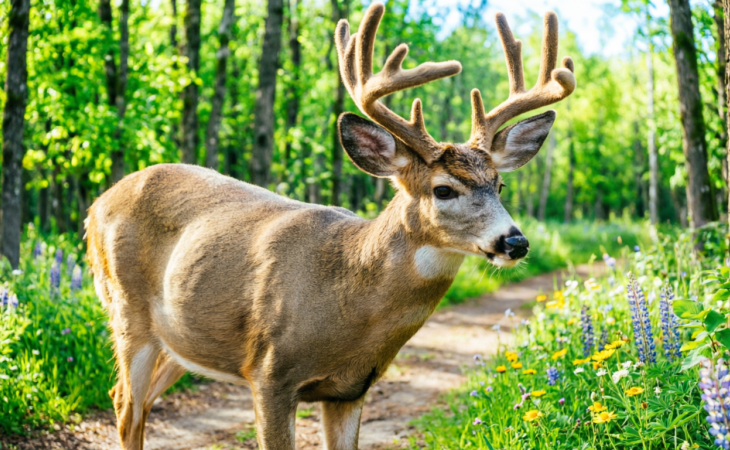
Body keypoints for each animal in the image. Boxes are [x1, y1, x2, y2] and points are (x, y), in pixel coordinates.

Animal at [84, 3, 575, 449]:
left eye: (500, 184)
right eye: (443, 190)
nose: (515, 241)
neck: (346, 302)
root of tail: (95, 205)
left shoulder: (351, 390)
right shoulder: (269, 374)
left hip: (180, 339)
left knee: (133, 400)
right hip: (126, 310)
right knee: (125, 405)